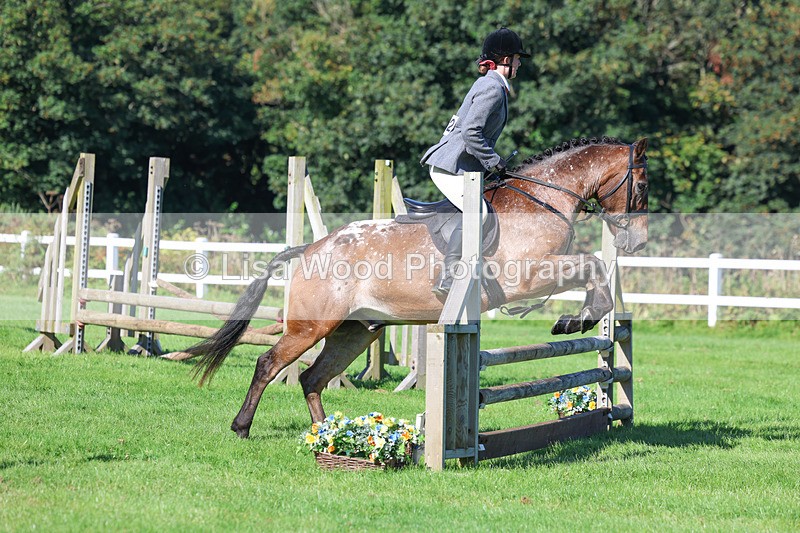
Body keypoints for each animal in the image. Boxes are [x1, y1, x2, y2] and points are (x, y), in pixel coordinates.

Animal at [186, 136, 650, 438]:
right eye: (642, 187)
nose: (638, 243)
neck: (543, 199)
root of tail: (312, 248)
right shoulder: (529, 275)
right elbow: (591, 264)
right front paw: (579, 319)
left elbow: (593, 265)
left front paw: (581, 318)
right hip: (311, 327)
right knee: (269, 365)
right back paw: (242, 427)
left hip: (353, 333)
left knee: (313, 379)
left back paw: (325, 434)